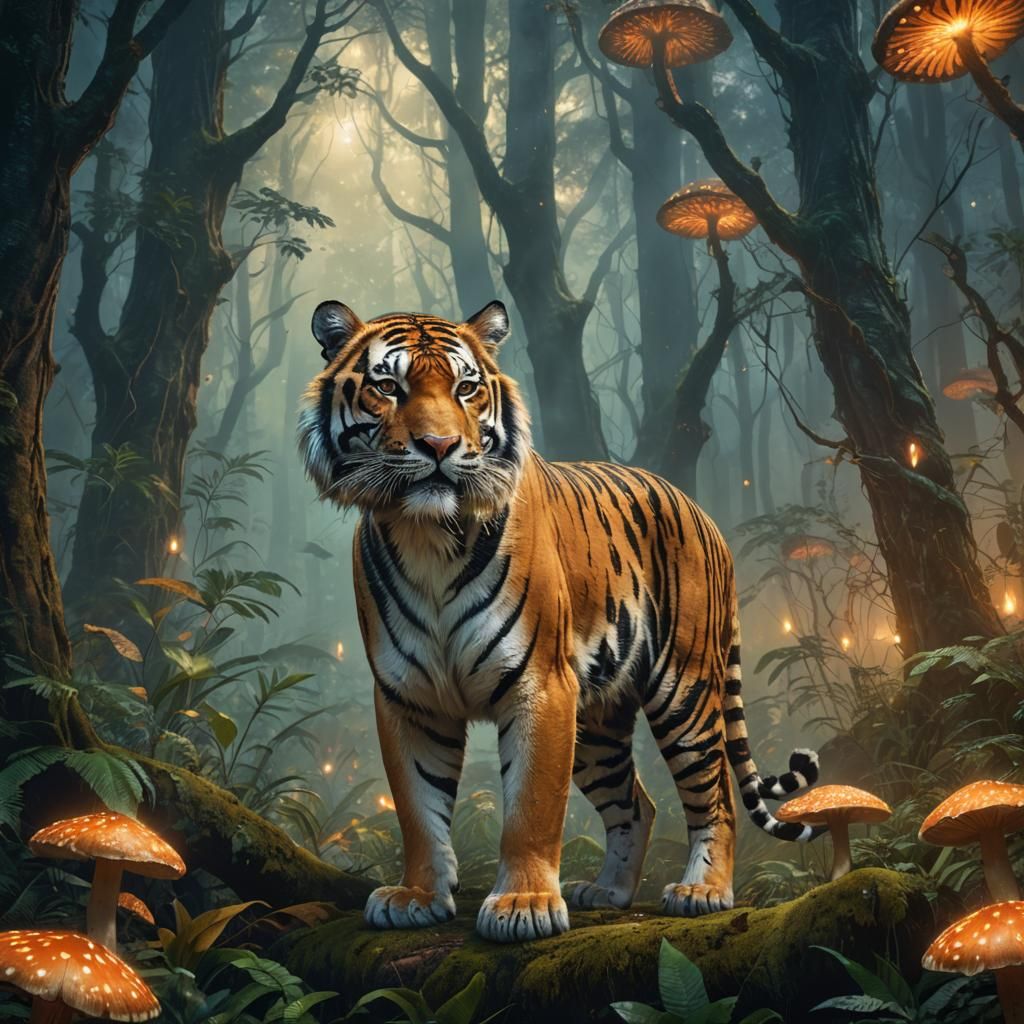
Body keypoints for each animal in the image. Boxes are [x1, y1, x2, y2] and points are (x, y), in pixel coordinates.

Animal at [299, 298, 820, 943]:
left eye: (467, 388)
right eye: (387, 387)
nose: (440, 445)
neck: (429, 538)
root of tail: (704, 516)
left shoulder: (541, 684)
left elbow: (531, 807)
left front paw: (522, 905)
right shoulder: (407, 696)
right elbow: (418, 807)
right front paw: (416, 897)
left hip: (684, 689)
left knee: (716, 790)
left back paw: (703, 891)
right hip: (597, 723)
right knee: (636, 804)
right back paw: (609, 891)